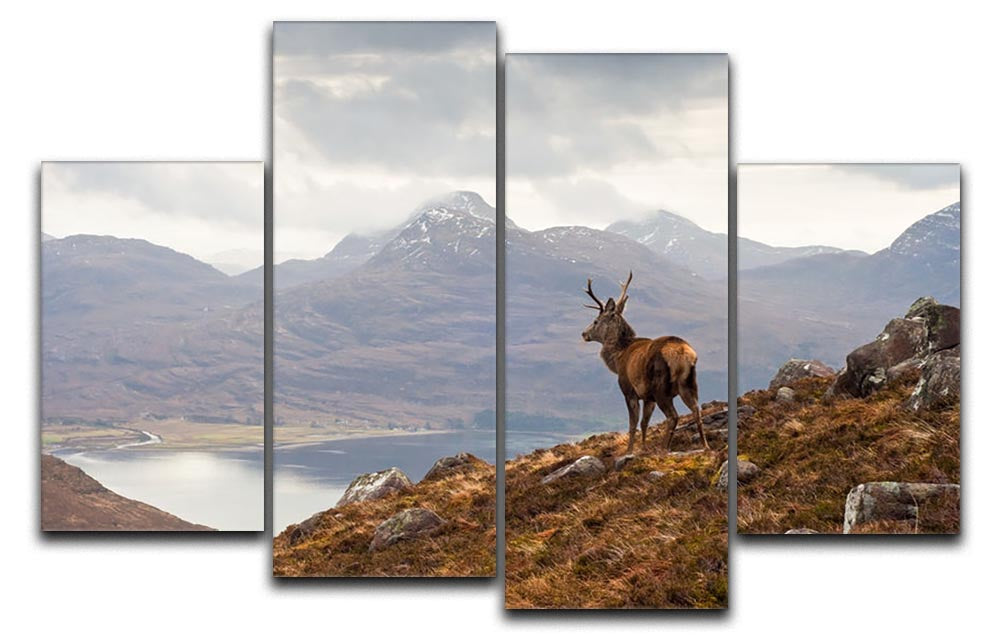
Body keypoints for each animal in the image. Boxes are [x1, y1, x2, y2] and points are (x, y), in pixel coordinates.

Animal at [581, 272, 710, 454]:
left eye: (596, 320)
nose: (584, 334)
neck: (617, 359)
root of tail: (683, 353)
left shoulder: (629, 390)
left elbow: (633, 423)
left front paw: (630, 451)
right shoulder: (649, 398)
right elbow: (644, 423)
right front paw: (643, 448)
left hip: (660, 386)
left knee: (673, 416)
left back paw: (663, 448)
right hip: (689, 382)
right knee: (696, 410)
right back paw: (705, 446)